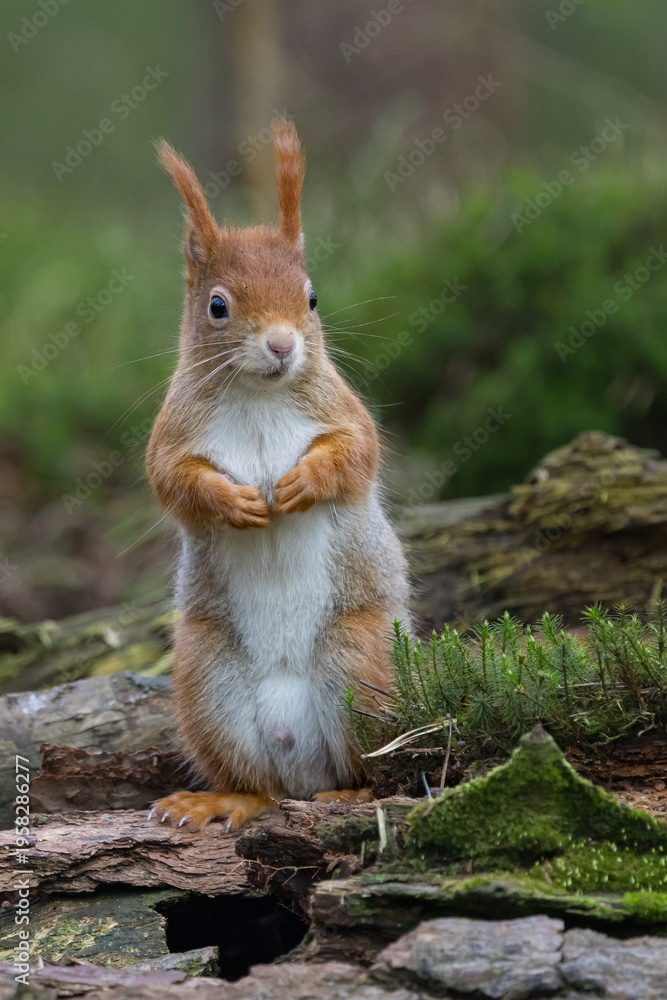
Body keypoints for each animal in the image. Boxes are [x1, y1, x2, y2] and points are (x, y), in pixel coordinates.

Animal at [146, 118, 410, 832]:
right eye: (217, 306)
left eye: (312, 297)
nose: (284, 345)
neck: (260, 394)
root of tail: (302, 765)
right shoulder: (171, 435)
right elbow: (172, 481)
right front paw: (232, 501)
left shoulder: (343, 412)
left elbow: (356, 455)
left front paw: (301, 484)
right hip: (207, 676)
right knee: (258, 784)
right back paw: (223, 798)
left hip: (359, 661)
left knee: (365, 765)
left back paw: (351, 794)